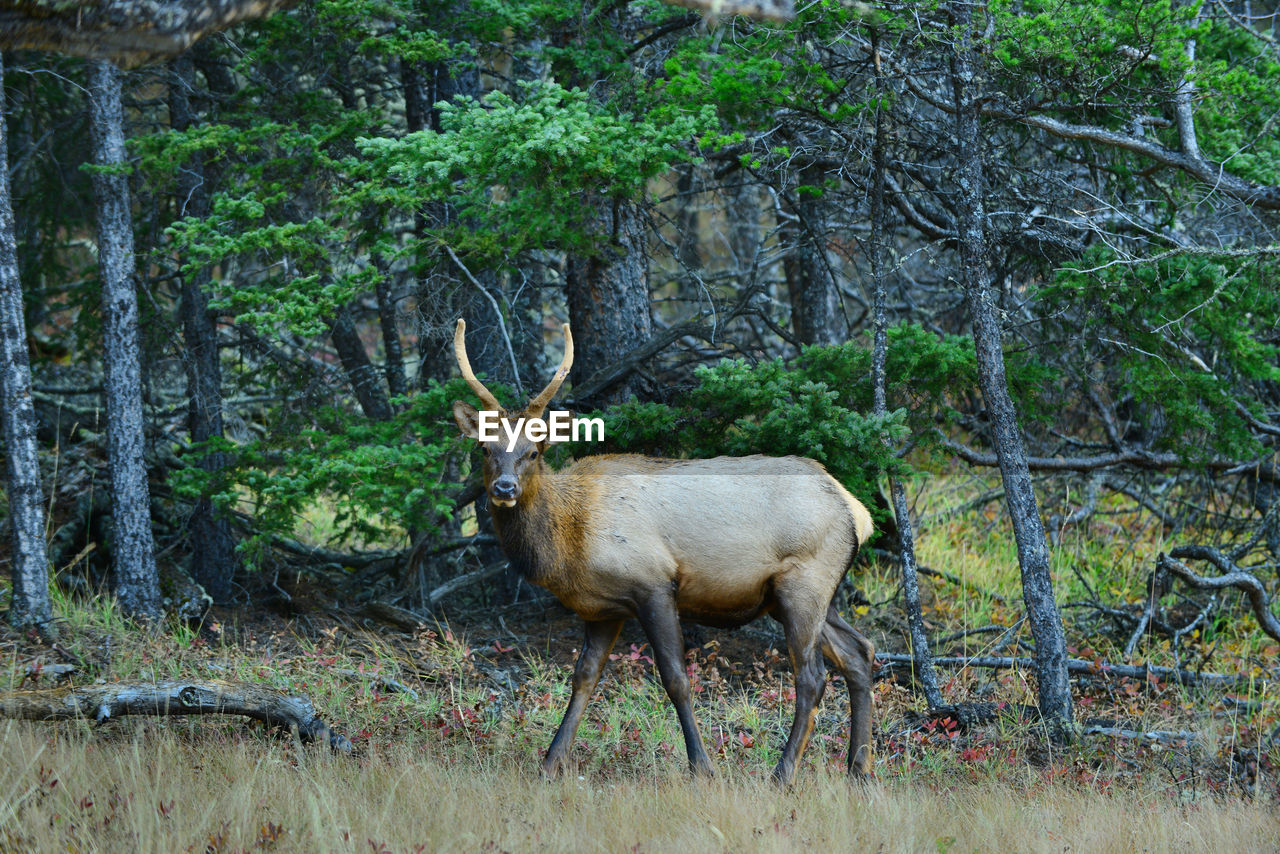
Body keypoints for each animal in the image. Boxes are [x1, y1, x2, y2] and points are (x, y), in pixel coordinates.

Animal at [453, 318, 880, 783]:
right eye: (484, 448)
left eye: (533, 451)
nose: (504, 488)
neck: (568, 542)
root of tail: (857, 511)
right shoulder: (603, 609)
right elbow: (583, 677)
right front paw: (550, 763)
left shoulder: (654, 584)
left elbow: (676, 678)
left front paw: (702, 766)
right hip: (813, 595)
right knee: (859, 653)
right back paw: (859, 769)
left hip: (803, 584)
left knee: (812, 677)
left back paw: (782, 774)